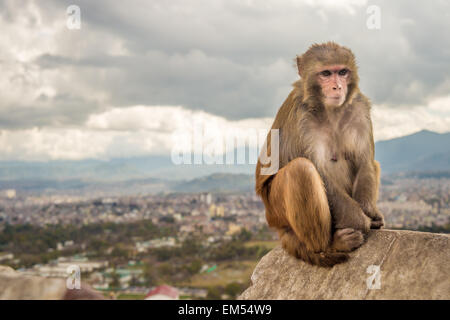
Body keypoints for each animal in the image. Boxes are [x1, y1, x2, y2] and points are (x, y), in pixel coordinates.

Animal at [255, 42, 384, 268]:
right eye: (326, 74)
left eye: (342, 72)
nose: (337, 87)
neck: (331, 110)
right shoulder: (301, 118)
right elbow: (319, 172)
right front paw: (362, 221)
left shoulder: (359, 108)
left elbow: (364, 162)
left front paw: (370, 213)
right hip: (274, 208)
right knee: (301, 169)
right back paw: (329, 246)